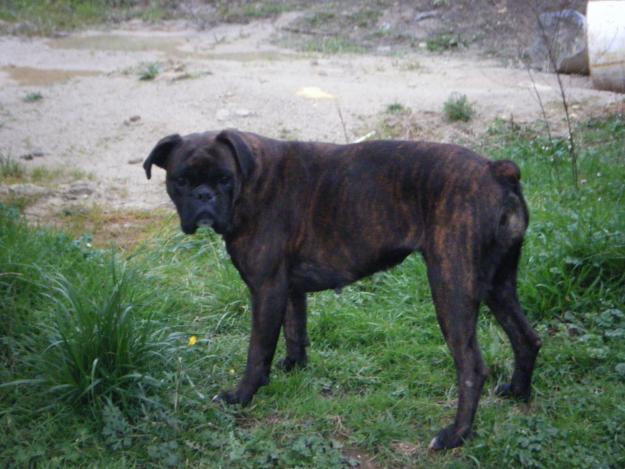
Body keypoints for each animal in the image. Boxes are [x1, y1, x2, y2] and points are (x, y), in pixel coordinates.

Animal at [143, 129, 540, 450]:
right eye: (181, 179)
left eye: (225, 178)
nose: (204, 196)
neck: (252, 177)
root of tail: (496, 170)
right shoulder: (287, 289)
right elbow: (294, 330)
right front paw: (293, 367)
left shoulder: (265, 289)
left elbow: (258, 350)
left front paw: (243, 395)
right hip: (497, 285)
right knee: (526, 337)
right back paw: (517, 393)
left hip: (451, 289)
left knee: (472, 366)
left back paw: (455, 435)